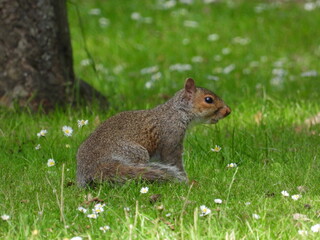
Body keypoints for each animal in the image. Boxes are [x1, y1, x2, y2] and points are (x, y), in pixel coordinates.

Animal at [78, 78, 232, 187]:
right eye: (208, 99)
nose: (228, 111)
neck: (176, 112)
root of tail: (94, 166)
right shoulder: (171, 138)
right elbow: (174, 161)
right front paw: (187, 182)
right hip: (136, 153)